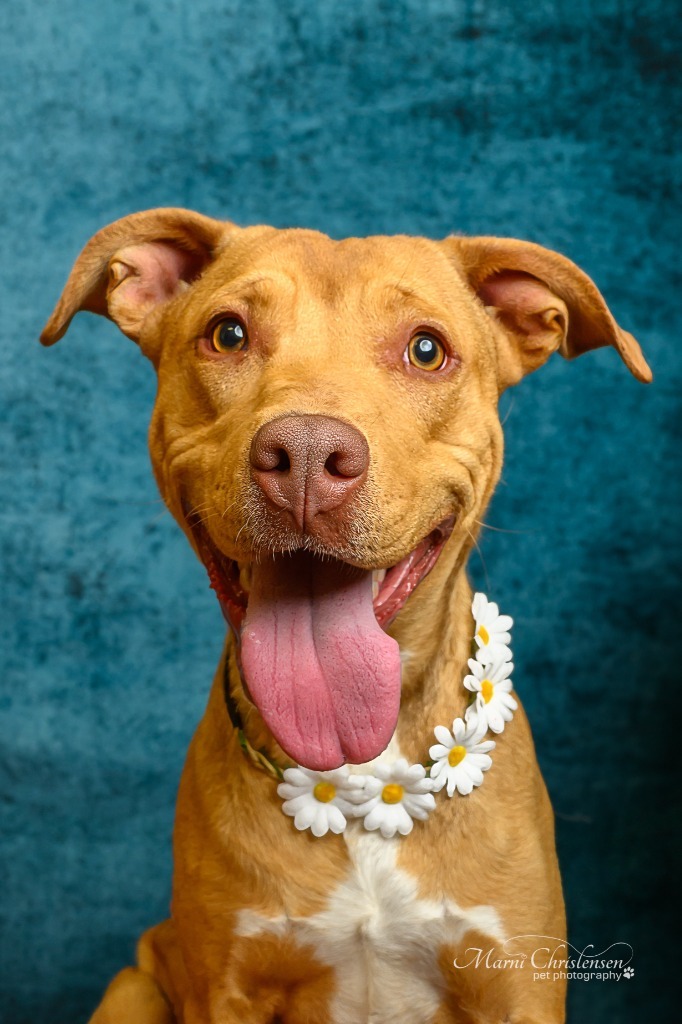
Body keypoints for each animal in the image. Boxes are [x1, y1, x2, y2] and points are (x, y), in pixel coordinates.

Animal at [41, 209, 647, 1024]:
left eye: (427, 350)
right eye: (227, 334)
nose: (304, 453)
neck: (362, 772)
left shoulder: (516, 986)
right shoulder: (224, 989)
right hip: (133, 987)